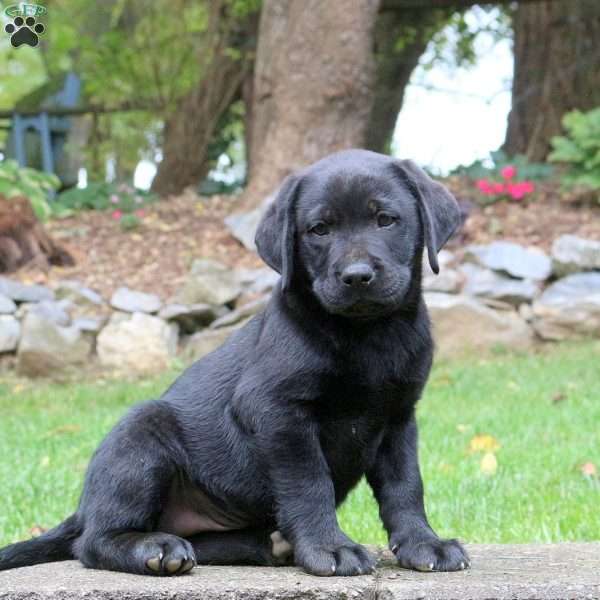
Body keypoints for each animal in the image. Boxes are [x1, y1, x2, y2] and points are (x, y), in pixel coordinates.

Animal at [0, 149, 468, 576]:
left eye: (386, 219)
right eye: (319, 229)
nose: (356, 276)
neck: (368, 334)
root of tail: (85, 506)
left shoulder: (398, 415)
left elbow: (405, 486)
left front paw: (423, 543)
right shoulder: (278, 411)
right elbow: (309, 483)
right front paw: (329, 549)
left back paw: (271, 545)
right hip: (140, 436)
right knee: (92, 542)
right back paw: (156, 549)